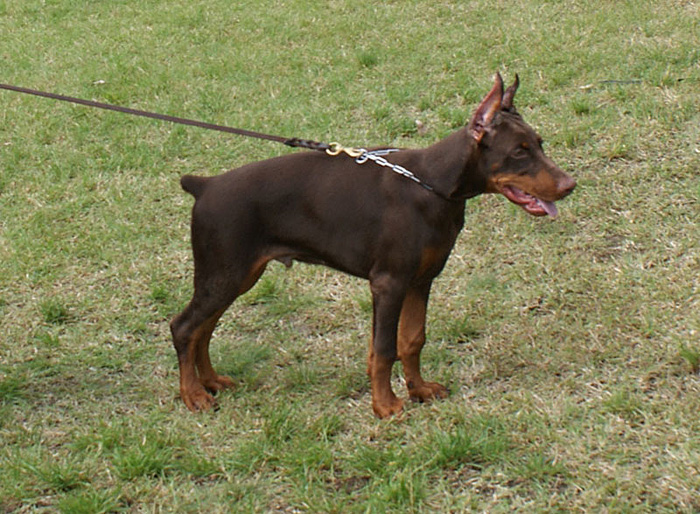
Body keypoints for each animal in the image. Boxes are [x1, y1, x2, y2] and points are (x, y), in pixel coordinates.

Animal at [170, 74, 576, 418]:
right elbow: (383, 348)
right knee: (184, 327)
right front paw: (385, 405)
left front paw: (419, 390)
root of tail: (204, 185)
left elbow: (412, 339)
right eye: (519, 152)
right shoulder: (389, 282)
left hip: (236, 277)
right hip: (224, 272)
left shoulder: (421, 279)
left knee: (204, 328)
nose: (570, 185)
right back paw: (193, 395)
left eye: (540, 144)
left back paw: (212, 381)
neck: (433, 184)